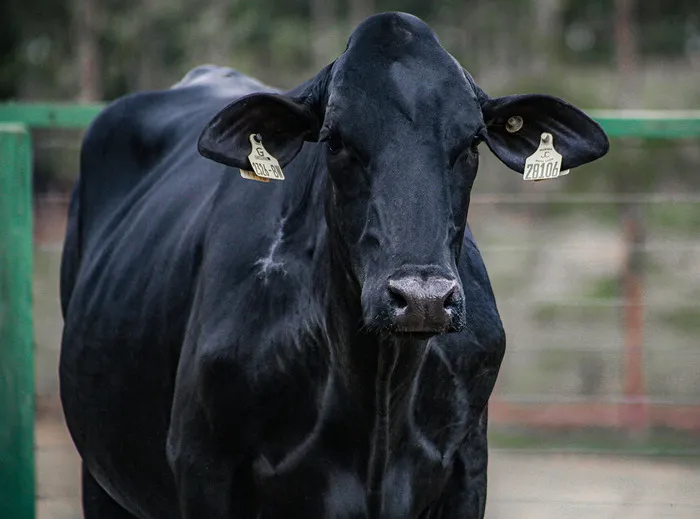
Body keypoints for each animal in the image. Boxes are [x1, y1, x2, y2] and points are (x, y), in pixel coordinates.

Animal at [59, 12, 609, 519]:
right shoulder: (201, 465)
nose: (423, 299)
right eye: (336, 140)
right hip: (99, 479)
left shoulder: (468, 467)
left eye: (473, 141)